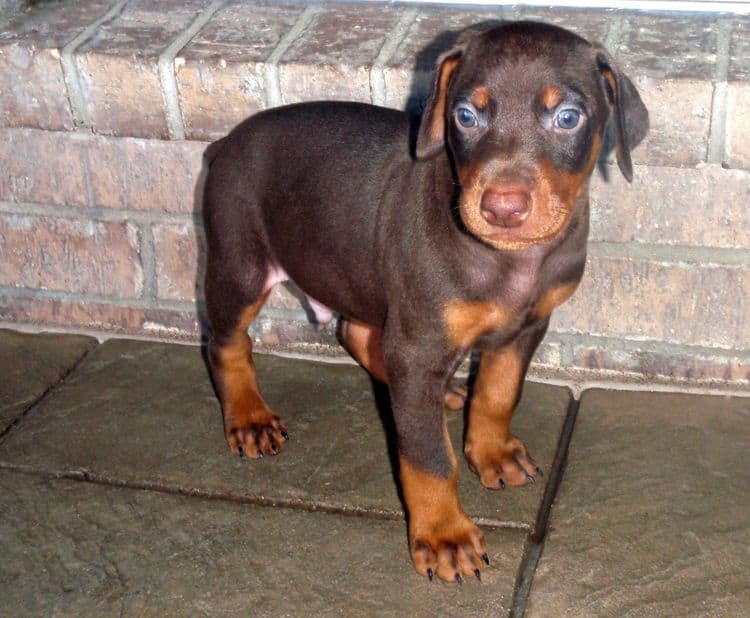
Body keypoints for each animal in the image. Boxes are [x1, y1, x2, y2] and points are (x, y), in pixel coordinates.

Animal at [203, 22, 648, 584]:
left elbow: (498, 392)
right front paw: (444, 536)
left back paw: (439, 393)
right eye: (466, 115)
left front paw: (492, 451)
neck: (510, 262)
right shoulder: (419, 342)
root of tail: (225, 141)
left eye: (568, 117)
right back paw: (248, 417)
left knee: (358, 335)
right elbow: (427, 457)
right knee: (225, 340)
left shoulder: (526, 327)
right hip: (239, 262)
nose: (502, 208)